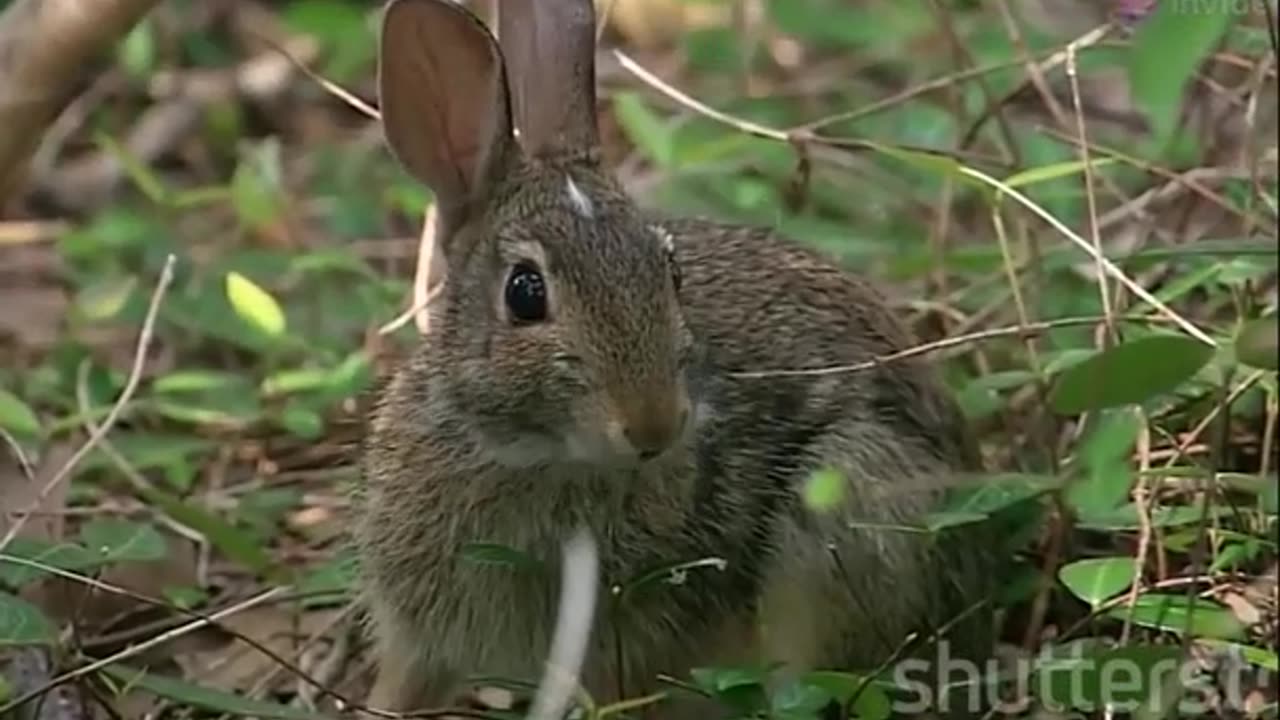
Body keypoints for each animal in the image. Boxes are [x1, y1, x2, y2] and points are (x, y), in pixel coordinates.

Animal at [355, 0, 1003, 712]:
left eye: (671, 273)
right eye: (525, 294)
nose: (655, 426)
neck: (521, 450)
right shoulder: (420, 635)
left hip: (848, 499)